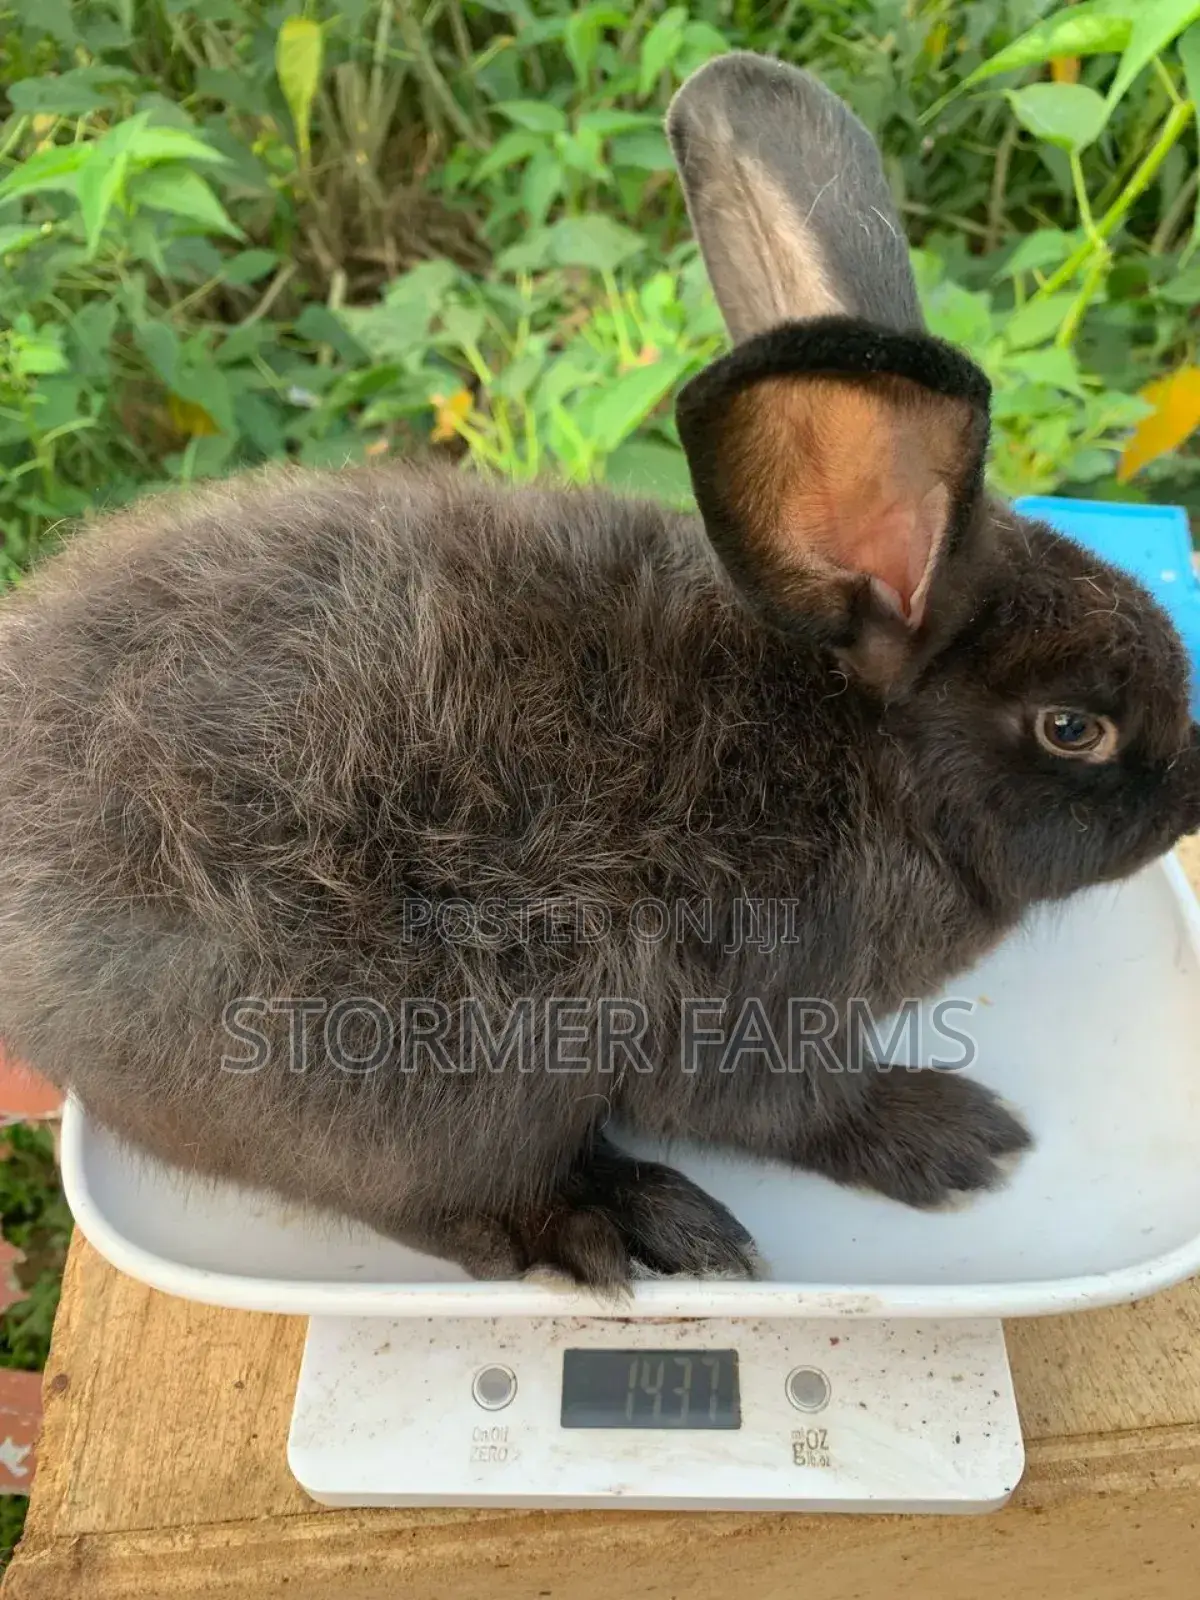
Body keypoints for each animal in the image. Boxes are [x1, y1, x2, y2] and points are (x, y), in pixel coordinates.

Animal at [1, 50, 1198, 1293]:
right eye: (1075, 728)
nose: (1188, 799)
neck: (869, 764)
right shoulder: (753, 1013)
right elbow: (792, 1108)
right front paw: (958, 1140)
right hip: (403, 1078)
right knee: (458, 1204)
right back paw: (637, 1220)